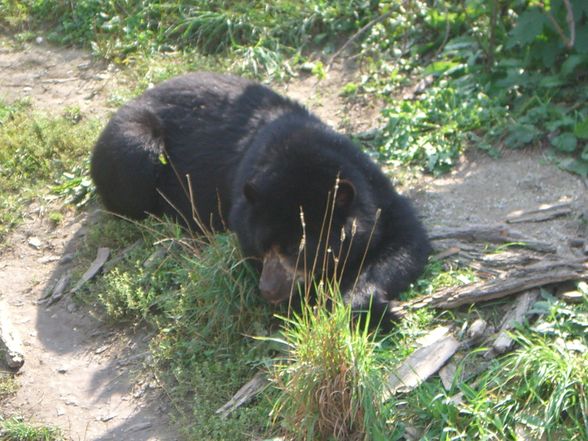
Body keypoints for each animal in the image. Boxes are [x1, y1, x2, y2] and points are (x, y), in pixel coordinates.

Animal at [93, 71, 432, 326]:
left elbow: (405, 245)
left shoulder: (378, 193)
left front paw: (371, 302)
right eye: (262, 247)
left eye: (297, 250)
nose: (268, 289)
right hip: (134, 143)